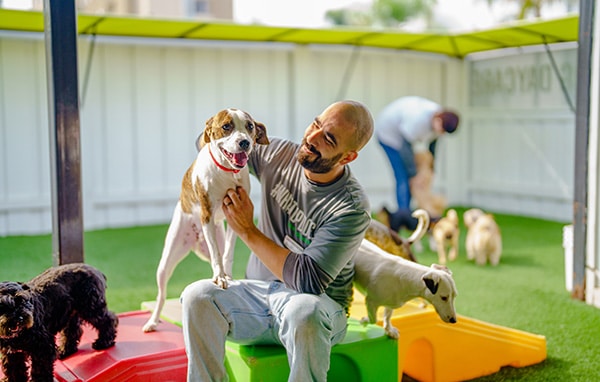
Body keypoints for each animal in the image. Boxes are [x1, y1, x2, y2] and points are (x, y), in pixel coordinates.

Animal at [142, 108, 268, 332]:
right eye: (226, 126)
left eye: (250, 126)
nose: (244, 142)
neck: (227, 173)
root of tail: (196, 239)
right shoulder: (207, 214)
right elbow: (218, 254)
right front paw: (219, 277)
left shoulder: (235, 215)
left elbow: (226, 253)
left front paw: (227, 275)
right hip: (166, 261)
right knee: (161, 294)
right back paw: (153, 321)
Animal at [354, 210, 458, 338]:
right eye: (444, 297)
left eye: (454, 296)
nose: (454, 320)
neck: (404, 281)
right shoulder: (370, 301)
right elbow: (373, 319)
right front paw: (364, 320)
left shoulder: (390, 304)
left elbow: (387, 316)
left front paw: (389, 330)